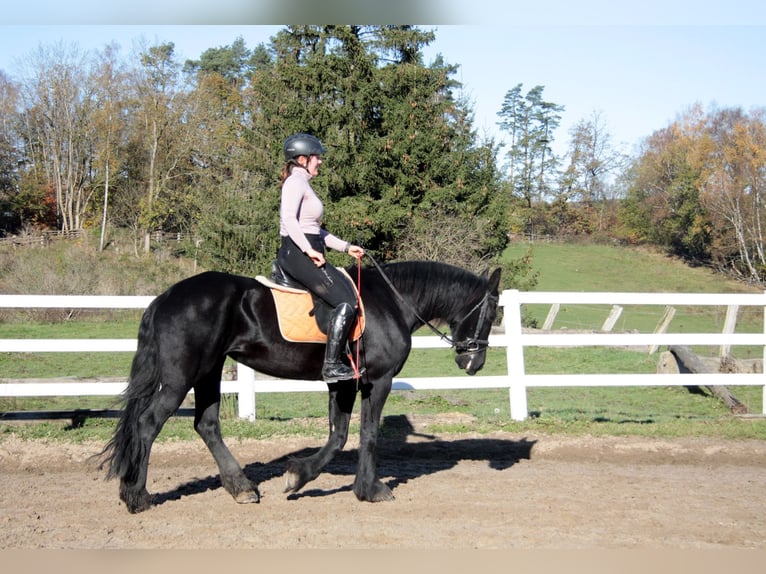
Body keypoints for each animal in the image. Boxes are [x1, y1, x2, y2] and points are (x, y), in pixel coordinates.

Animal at [100, 260, 504, 512]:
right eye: (491, 312)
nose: (474, 363)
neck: (391, 303)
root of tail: (164, 298)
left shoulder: (344, 383)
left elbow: (339, 435)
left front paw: (301, 476)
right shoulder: (377, 381)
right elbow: (368, 433)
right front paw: (370, 490)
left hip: (209, 371)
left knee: (207, 425)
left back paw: (241, 488)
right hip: (181, 378)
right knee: (148, 424)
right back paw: (136, 495)